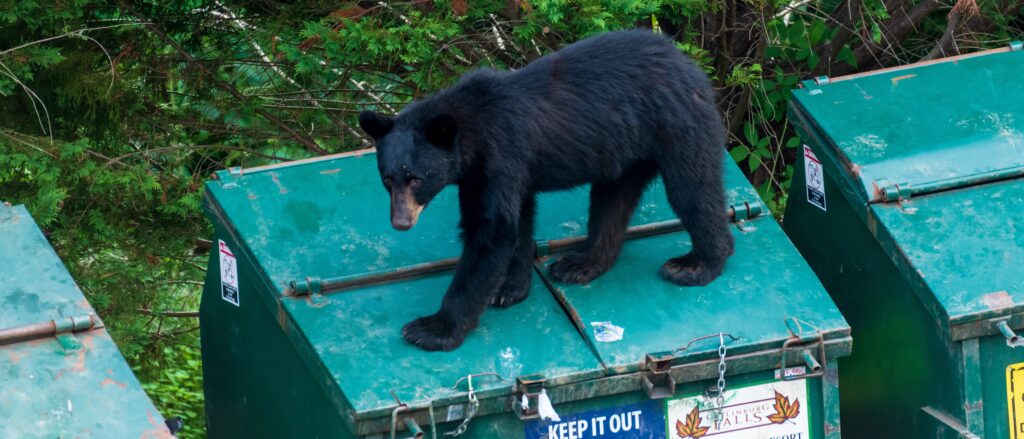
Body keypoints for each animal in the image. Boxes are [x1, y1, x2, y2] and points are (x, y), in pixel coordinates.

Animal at [358, 29, 733, 351]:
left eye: (416, 178)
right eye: (387, 179)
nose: (400, 222)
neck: (471, 130)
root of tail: (690, 64)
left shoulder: (499, 156)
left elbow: (492, 231)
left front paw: (432, 328)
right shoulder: (503, 173)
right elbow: (518, 221)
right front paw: (510, 286)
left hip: (677, 126)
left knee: (693, 191)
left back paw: (696, 264)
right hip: (626, 152)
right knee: (612, 201)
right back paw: (580, 264)